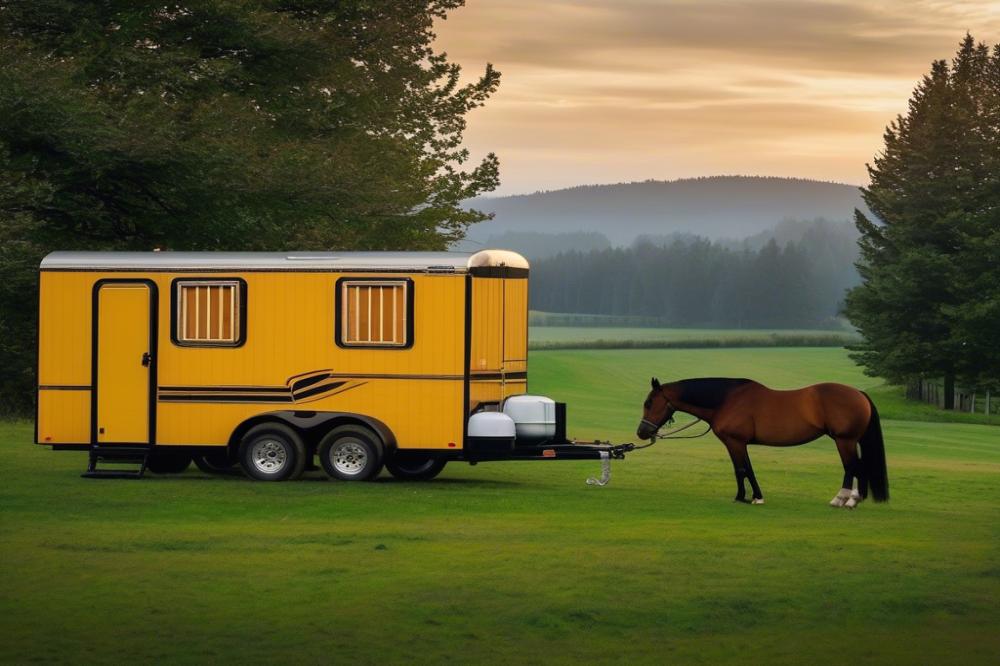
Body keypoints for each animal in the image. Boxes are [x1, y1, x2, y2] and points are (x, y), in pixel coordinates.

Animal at [637, 377, 888, 507]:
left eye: (649, 402)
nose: (641, 432)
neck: (726, 400)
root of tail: (859, 393)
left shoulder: (734, 442)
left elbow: (741, 469)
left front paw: (743, 497)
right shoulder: (740, 443)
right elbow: (747, 469)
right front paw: (754, 496)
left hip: (844, 440)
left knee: (852, 467)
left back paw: (843, 499)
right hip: (851, 441)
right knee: (859, 467)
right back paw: (855, 499)